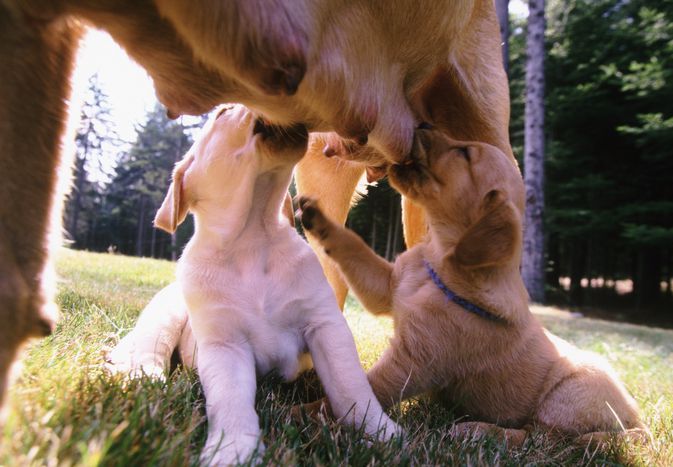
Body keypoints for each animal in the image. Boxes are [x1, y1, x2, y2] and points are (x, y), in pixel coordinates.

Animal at [296, 129, 644, 446]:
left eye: (464, 153)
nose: (421, 125)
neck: (439, 265)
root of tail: (636, 421)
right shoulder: (388, 286)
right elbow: (353, 247)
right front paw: (317, 216)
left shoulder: (412, 361)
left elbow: (355, 394)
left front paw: (300, 412)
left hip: (569, 395)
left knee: (538, 437)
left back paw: (476, 430)